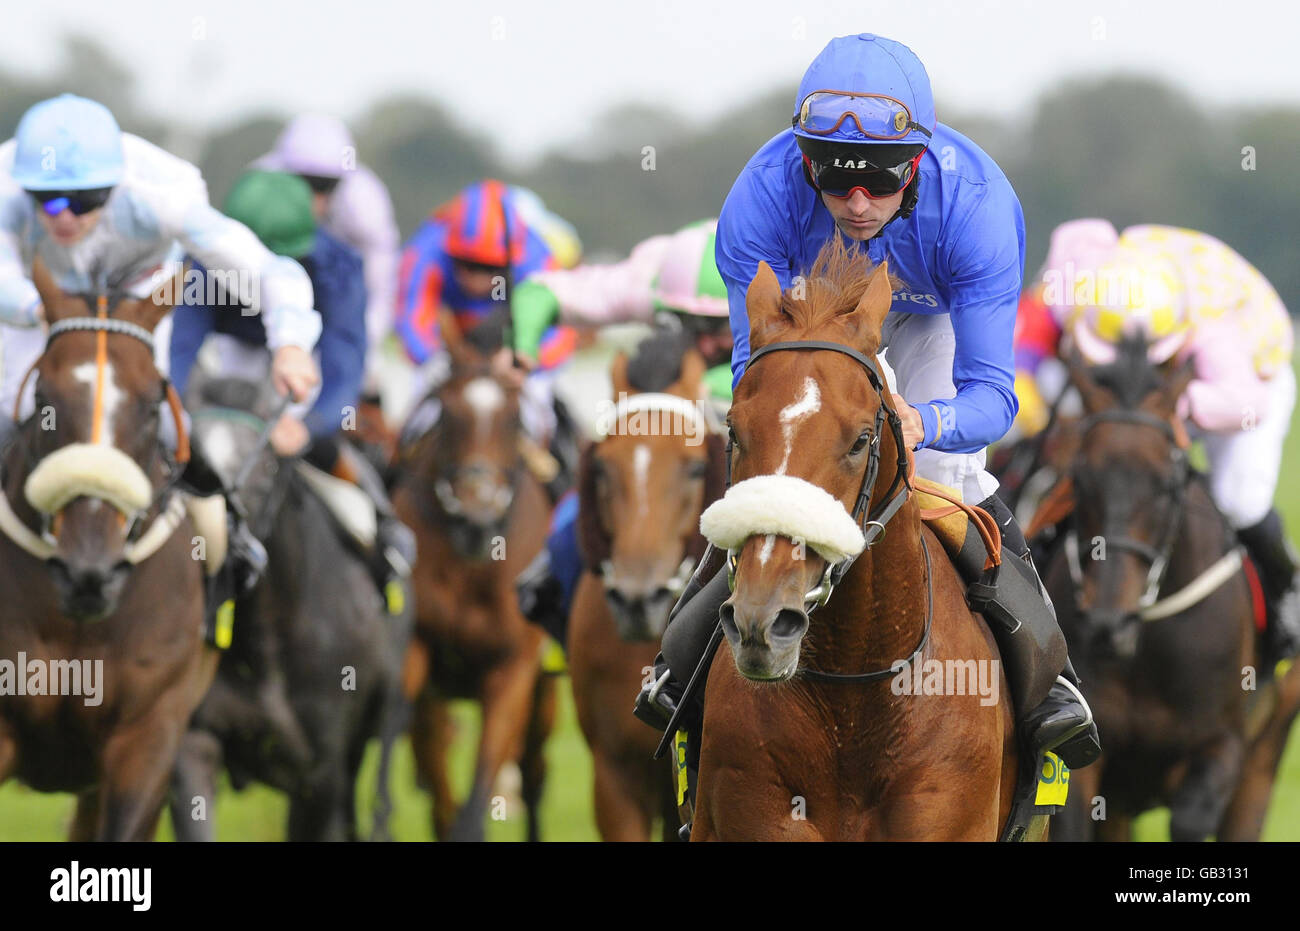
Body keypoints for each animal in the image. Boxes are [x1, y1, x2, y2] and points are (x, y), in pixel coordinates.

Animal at [395, 315, 559, 842]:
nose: (474, 520)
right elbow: (443, 807)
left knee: (534, 772)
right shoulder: (418, 659)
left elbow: (472, 808)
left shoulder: (513, 671)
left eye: (511, 419)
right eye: (447, 415)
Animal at [1040, 338, 1300, 842]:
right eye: (1080, 478)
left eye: (1165, 483)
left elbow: (1191, 817)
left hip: (1264, 758)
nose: (1107, 625)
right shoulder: (1089, 758)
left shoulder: (1221, 747)